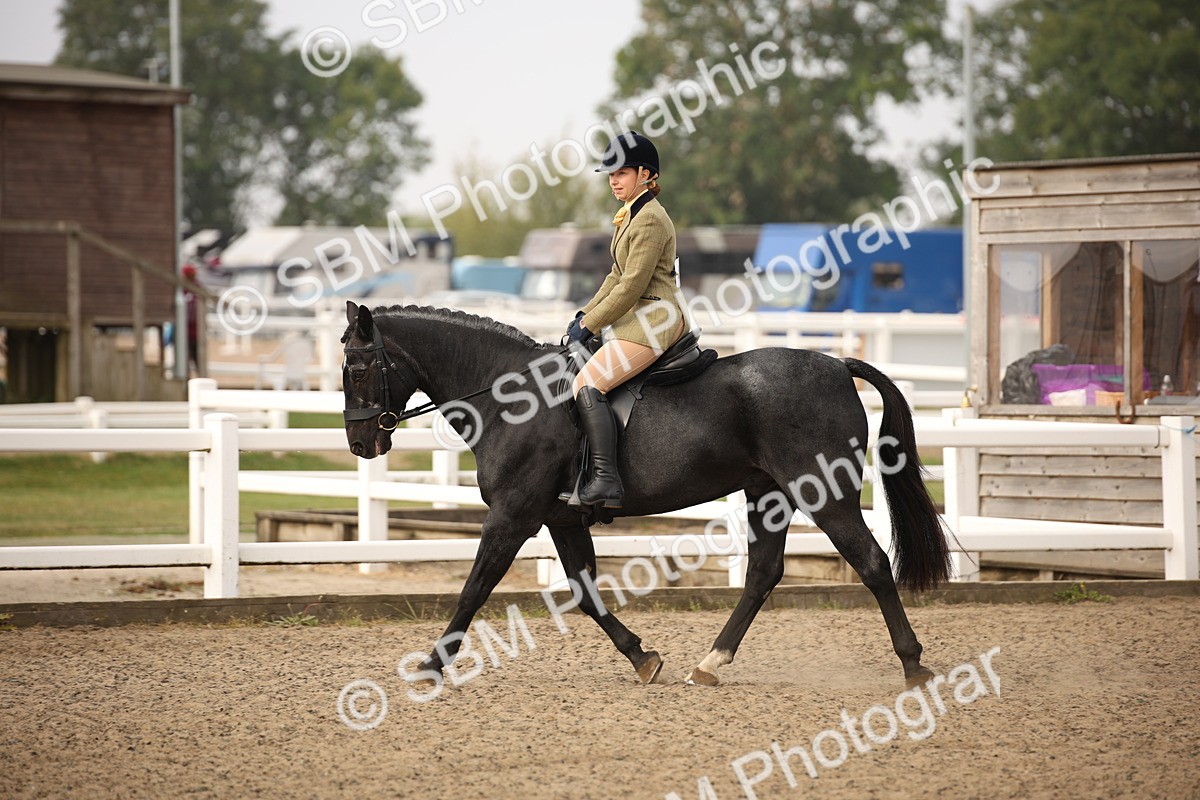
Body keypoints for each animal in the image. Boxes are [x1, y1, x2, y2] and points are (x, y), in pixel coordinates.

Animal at [340, 301, 950, 688]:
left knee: (871, 562)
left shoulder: (512, 517)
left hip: (823, 490)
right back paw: (710, 663)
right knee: (762, 573)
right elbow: (585, 592)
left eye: (360, 368)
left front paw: (430, 665)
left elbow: (473, 590)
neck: (511, 398)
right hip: (767, 494)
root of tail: (837, 364)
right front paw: (642, 658)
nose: (360, 443)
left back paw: (913, 666)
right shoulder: (562, 519)